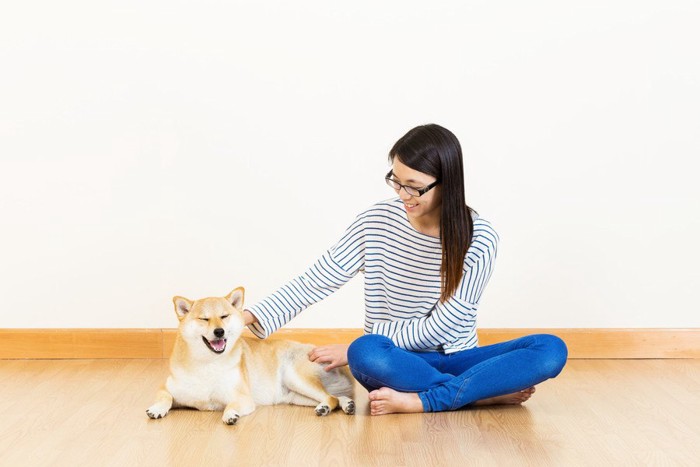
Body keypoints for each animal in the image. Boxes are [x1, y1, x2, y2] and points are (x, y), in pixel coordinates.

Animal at [146, 288, 356, 426]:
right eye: (204, 319)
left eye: (224, 316)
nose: (219, 331)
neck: (208, 363)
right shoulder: (168, 388)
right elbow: (165, 397)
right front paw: (156, 409)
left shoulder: (243, 398)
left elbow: (232, 404)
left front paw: (231, 414)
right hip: (295, 396)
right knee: (335, 396)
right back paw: (346, 405)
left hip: (295, 378)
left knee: (331, 398)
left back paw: (327, 407)